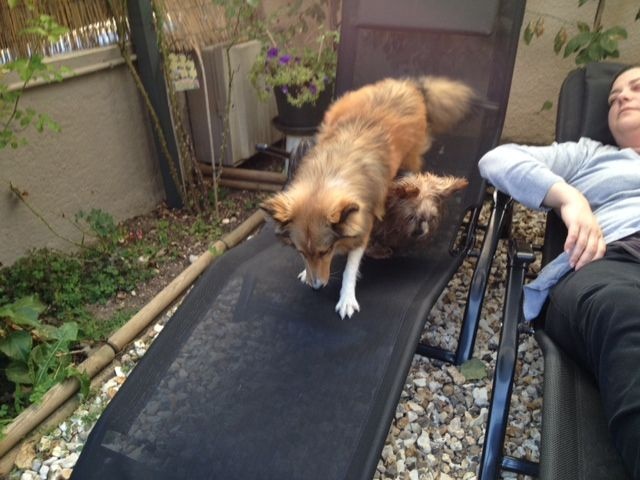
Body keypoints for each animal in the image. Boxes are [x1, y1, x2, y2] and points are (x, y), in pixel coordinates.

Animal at [260, 76, 476, 318]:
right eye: (300, 252)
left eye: (325, 251)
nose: (316, 287)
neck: (328, 175)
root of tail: (408, 85)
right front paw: (307, 273)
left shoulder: (363, 223)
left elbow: (350, 268)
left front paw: (346, 297)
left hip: (412, 153)